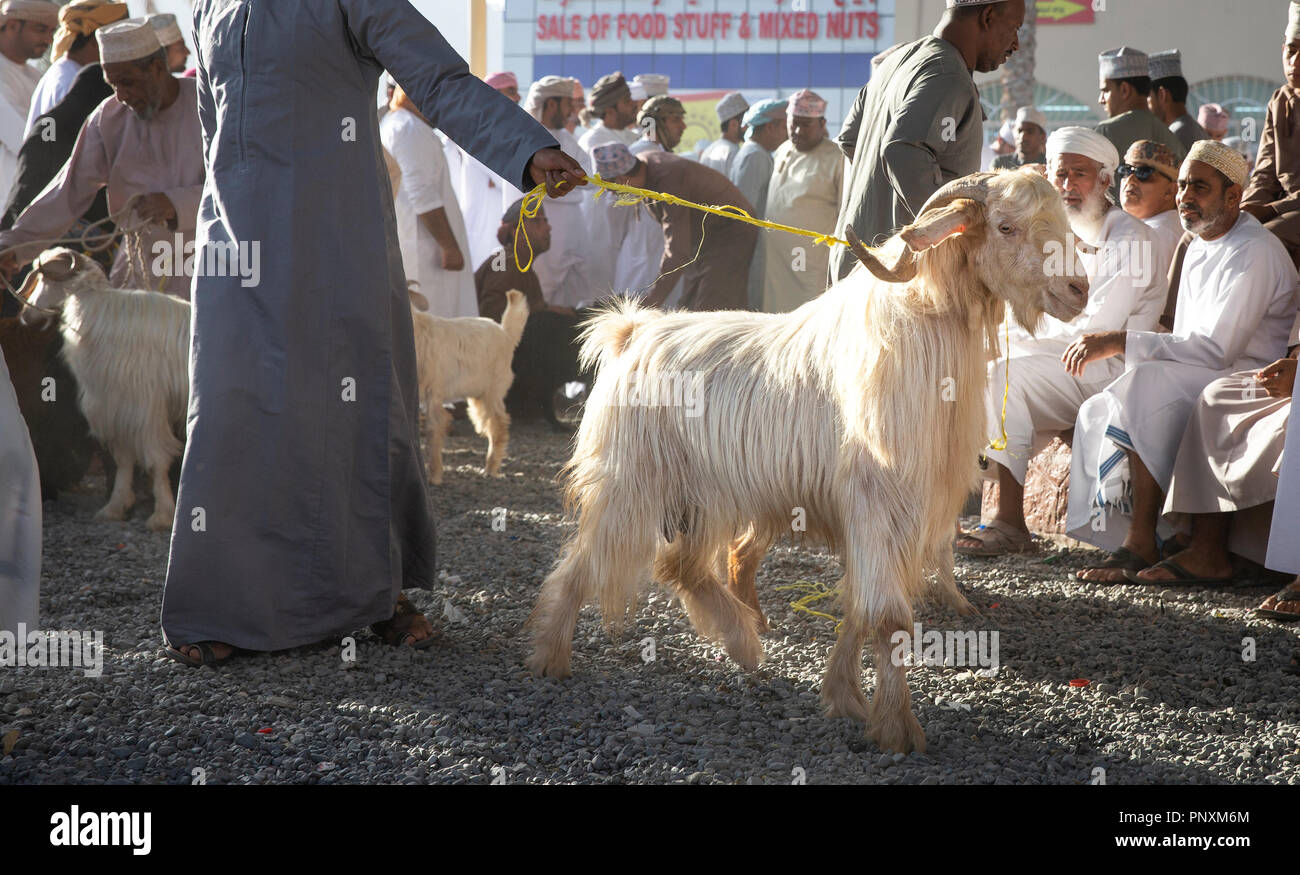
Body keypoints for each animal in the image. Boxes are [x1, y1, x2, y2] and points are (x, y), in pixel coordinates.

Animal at [17, 249, 188, 527]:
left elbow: (156, 460)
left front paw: (162, 515)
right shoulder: (115, 408)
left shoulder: (146, 410)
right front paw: (115, 507)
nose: (25, 315)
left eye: (45, 279)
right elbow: (124, 460)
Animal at [408, 286, 525, 481]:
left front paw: (434, 476)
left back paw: (491, 468)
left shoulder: (434, 391)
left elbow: (434, 429)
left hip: (493, 390)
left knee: (498, 423)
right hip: (477, 394)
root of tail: (505, 332)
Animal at [525, 169, 1086, 748]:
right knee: (583, 563)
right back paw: (550, 656)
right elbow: (889, 617)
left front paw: (844, 697)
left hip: (703, 497)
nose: (1078, 290)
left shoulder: (895, 516)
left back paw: (743, 644)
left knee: (680, 565)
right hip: (630, 484)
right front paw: (899, 728)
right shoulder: (878, 503)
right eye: (1005, 226)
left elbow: (860, 609)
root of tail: (632, 333)